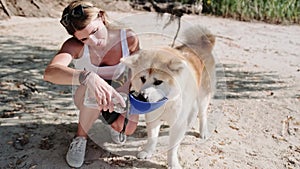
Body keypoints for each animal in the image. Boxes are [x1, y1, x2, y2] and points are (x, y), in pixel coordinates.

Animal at [120, 24, 217, 168]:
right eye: (143, 78)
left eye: (158, 82)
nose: (142, 97)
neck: (166, 102)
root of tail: (203, 44)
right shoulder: (152, 117)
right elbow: (152, 138)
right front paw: (147, 152)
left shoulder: (177, 123)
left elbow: (172, 148)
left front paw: (173, 164)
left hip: (203, 95)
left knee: (202, 113)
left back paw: (203, 132)